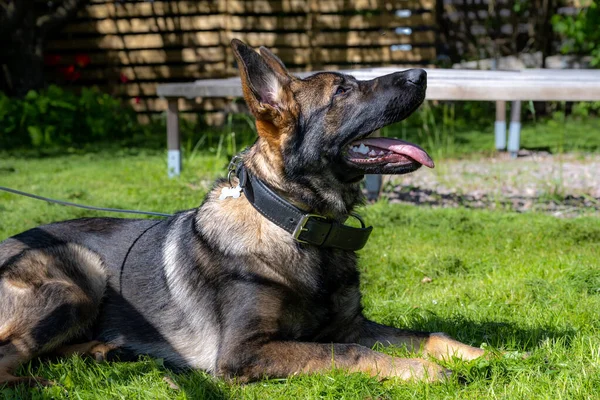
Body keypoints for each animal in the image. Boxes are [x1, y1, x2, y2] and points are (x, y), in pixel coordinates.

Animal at [0, 39, 486, 386]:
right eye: (344, 90)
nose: (422, 72)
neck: (297, 224)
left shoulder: (352, 325)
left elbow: (428, 336)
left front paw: (478, 354)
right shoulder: (245, 351)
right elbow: (346, 352)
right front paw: (424, 372)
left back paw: (99, 351)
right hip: (80, 274)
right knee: (10, 356)